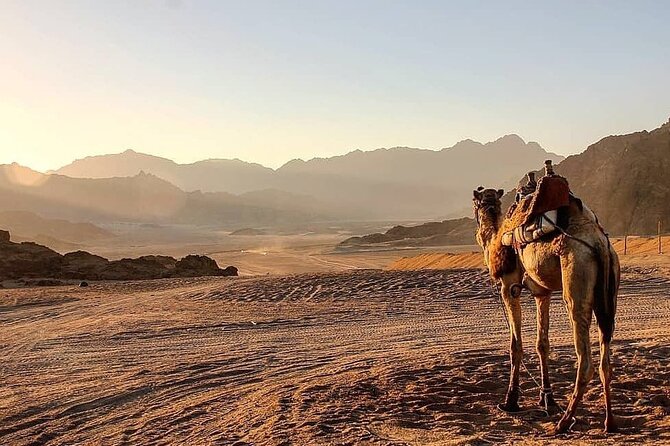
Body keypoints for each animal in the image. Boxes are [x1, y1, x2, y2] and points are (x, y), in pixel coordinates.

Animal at [472, 186, 619, 434]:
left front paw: (510, 401)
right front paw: (546, 398)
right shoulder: (542, 293)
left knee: (586, 360)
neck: (497, 236)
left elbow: (515, 346)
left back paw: (564, 422)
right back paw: (609, 422)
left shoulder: (508, 285)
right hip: (609, 294)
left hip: (576, 280)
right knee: (605, 360)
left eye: (476, 203)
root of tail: (600, 245)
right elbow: (542, 344)